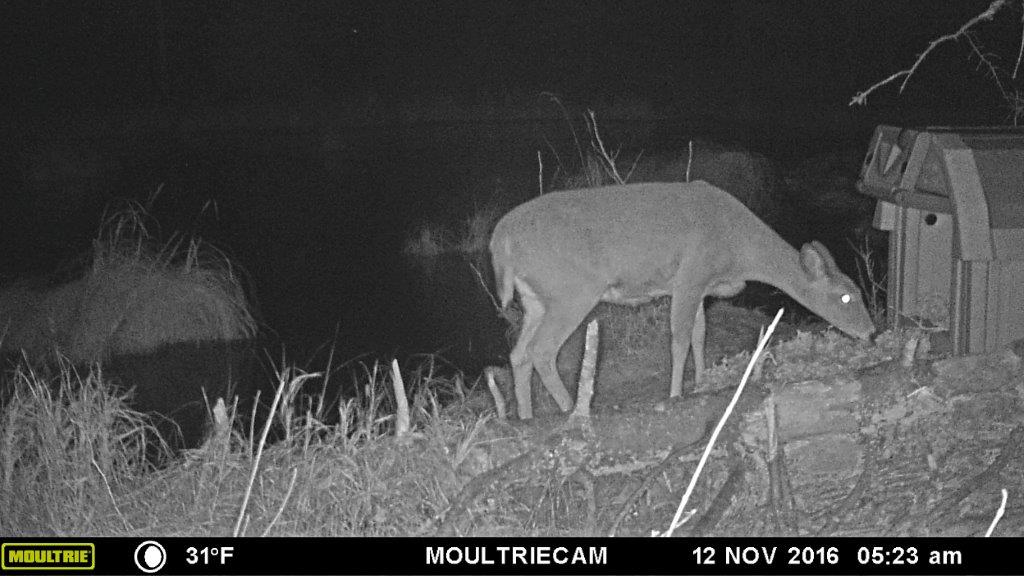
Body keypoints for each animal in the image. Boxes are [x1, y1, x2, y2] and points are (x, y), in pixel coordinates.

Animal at [490, 181, 875, 419]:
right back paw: (573, 409)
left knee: (519, 354)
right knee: (541, 350)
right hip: (572, 290)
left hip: (536, 298)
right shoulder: (691, 273)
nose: (871, 332)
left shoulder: (701, 286)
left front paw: (703, 382)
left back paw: (525, 417)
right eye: (846, 297)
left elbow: (699, 336)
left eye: (858, 292)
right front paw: (676, 394)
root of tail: (500, 239)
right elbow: (678, 339)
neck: (738, 247)